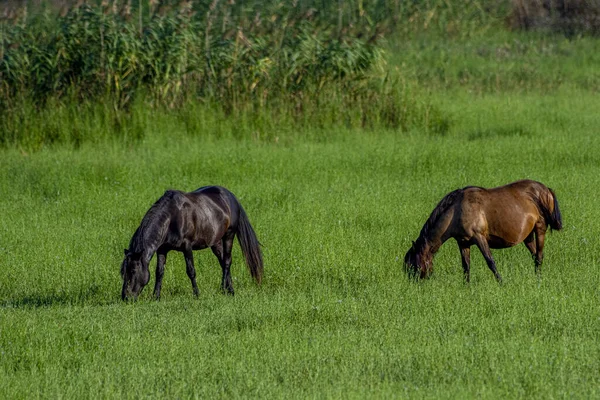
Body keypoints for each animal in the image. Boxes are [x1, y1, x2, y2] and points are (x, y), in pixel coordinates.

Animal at [120, 187, 262, 300]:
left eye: (133, 270)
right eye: (123, 272)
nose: (126, 297)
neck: (171, 218)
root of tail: (231, 196)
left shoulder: (187, 247)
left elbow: (191, 270)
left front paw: (197, 294)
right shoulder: (162, 249)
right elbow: (159, 272)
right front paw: (156, 296)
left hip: (229, 235)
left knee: (227, 261)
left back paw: (224, 289)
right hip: (215, 242)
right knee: (222, 261)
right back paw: (229, 288)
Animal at [404, 180, 564, 282]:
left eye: (413, 266)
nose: (415, 285)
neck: (457, 210)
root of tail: (546, 189)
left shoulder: (479, 237)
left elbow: (490, 262)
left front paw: (502, 283)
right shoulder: (463, 243)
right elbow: (466, 266)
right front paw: (466, 287)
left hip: (540, 228)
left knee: (539, 256)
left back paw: (538, 281)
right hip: (528, 236)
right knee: (535, 256)